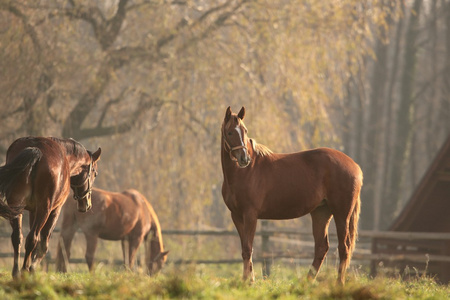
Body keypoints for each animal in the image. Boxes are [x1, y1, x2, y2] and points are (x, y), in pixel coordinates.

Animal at [0, 137, 100, 278]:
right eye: (95, 173)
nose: (87, 204)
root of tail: (36, 149)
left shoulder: (33, 211)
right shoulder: (55, 210)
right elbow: (43, 243)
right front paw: (32, 267)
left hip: (16, 207)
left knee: (17, 237)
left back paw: (16, 273)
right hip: (44, 210)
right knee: (33, 238)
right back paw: (25, 270)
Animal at [221, 107, 362, 284]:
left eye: (245, 131)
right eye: (230, 132)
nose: (244, 159)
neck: (245, 172)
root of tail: (355, 166)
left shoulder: (250, 215)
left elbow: (248, 248)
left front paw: (249, 282)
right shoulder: (237, 216)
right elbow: (245, 249)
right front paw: (247, 280)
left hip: (342, 214)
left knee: (344, 248)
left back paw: (339, 283)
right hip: (321, 213)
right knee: (321, 247)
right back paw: (307, 282)